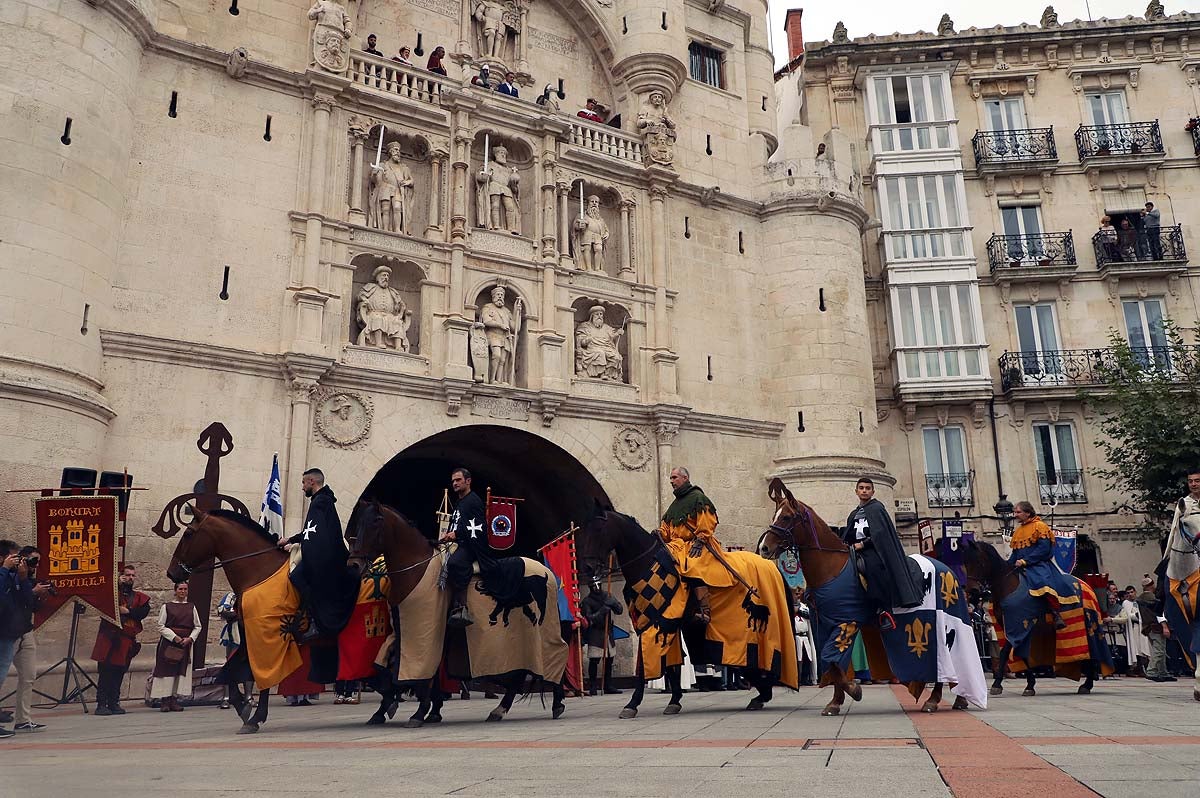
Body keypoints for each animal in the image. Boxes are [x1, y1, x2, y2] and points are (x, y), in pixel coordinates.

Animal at [348, 501, 566, 724]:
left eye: (376, 522)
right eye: (358, 523)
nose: (354, 564)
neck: (417, 570)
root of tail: (547, 574)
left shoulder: (426, 634)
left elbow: (426, 674)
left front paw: (420, 712)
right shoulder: (403, 632)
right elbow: (386, 666)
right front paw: (396, 708)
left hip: (541, 632)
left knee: (555, 654)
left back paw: (556, 703)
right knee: (519, 674)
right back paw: (500, 710)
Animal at [578, 506, 782, 720]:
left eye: (599, 529)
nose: (588, 567)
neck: (647, 562)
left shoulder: (661, 622)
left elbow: (649, 666)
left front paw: (633, 704)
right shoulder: (653, 623)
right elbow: (671, 665)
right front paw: (674, 699)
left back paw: (763, 692)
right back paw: (762, 693)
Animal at [763, 480, 969, 715]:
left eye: (787, 517)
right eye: (775, 516)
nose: (764, 547)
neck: (832, 568)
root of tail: (948, 570)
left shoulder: (847, 622)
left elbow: (832, 659)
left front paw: (854, 690)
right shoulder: (825, 625)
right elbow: (834, 664)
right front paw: (835, 702)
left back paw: (935, 700)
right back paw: (957, 699)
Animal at [940, 535, 1099, 696]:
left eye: (978, 562)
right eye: (965, 563)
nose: (972, 590)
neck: (1008, 586)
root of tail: (1087, 585)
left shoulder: (1019, 625)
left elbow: (1005, 652)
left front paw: (997, 684)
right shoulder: (1011, 626)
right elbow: (1021, 654)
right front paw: (1029, 684)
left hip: (1086, 627)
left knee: (1092, 653)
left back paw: (1088, 683)